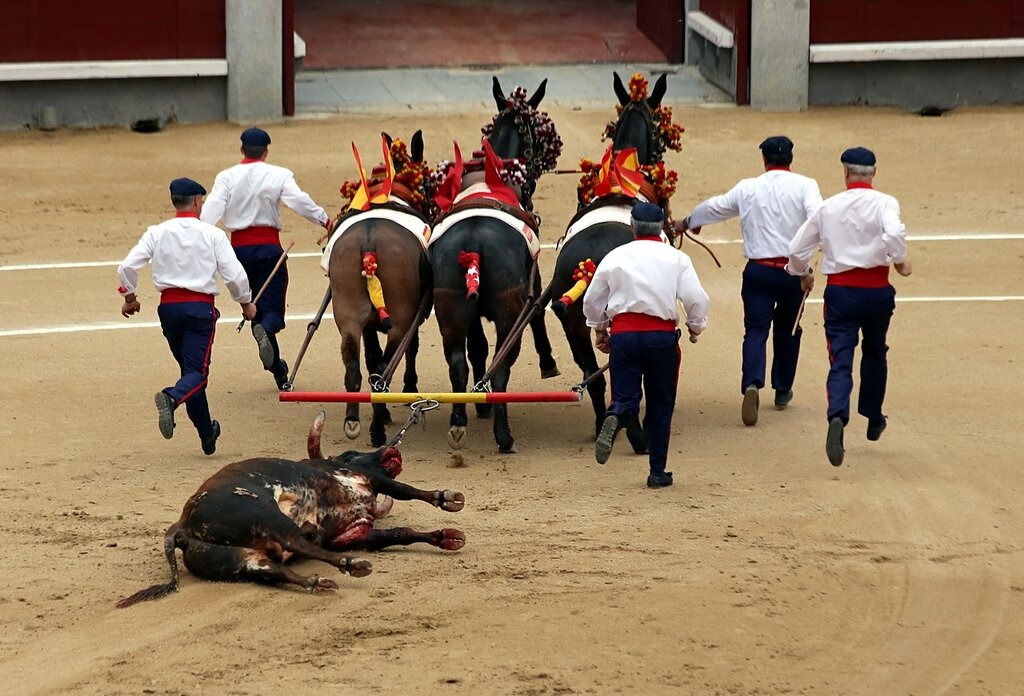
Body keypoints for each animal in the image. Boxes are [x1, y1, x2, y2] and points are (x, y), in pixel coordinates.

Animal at [117, 411, 466, 605]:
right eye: (351, 454)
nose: (390, 450)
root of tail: (180, 526)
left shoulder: (355, 534)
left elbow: (401, 533)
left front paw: (447, 537)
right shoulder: (363, 479)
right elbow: (405, 491)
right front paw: (447, 499)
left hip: (235, 560)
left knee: (272, 569)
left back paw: (317, 583)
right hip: (266, 516)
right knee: (297, 541)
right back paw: (351, 565)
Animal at [327, 130, 432, 446]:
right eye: (427, 183)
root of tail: (369, 241)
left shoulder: (368, 325)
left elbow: (371, 357)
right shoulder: (412, 317)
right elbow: (410, 349)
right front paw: (409, 390)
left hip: (348, 316)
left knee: (355, 368)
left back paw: (353, 421)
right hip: (398, 321)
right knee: (383, 372)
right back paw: (376, 430)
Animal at [430, 78, 561, 454]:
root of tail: (474, 245)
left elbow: (476, 350)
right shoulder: (533, 282)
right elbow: (538, 311)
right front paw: (548, 361)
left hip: (450, 308)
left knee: (457, 361)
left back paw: (459, 420)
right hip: (507, 311)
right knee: (501, 365)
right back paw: (504, 436)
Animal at [544, 73, 671, 442]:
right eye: (659, 132)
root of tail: (589, 263)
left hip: (573, 323)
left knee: (595, 376)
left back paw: (604, 423)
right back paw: (636, 434)